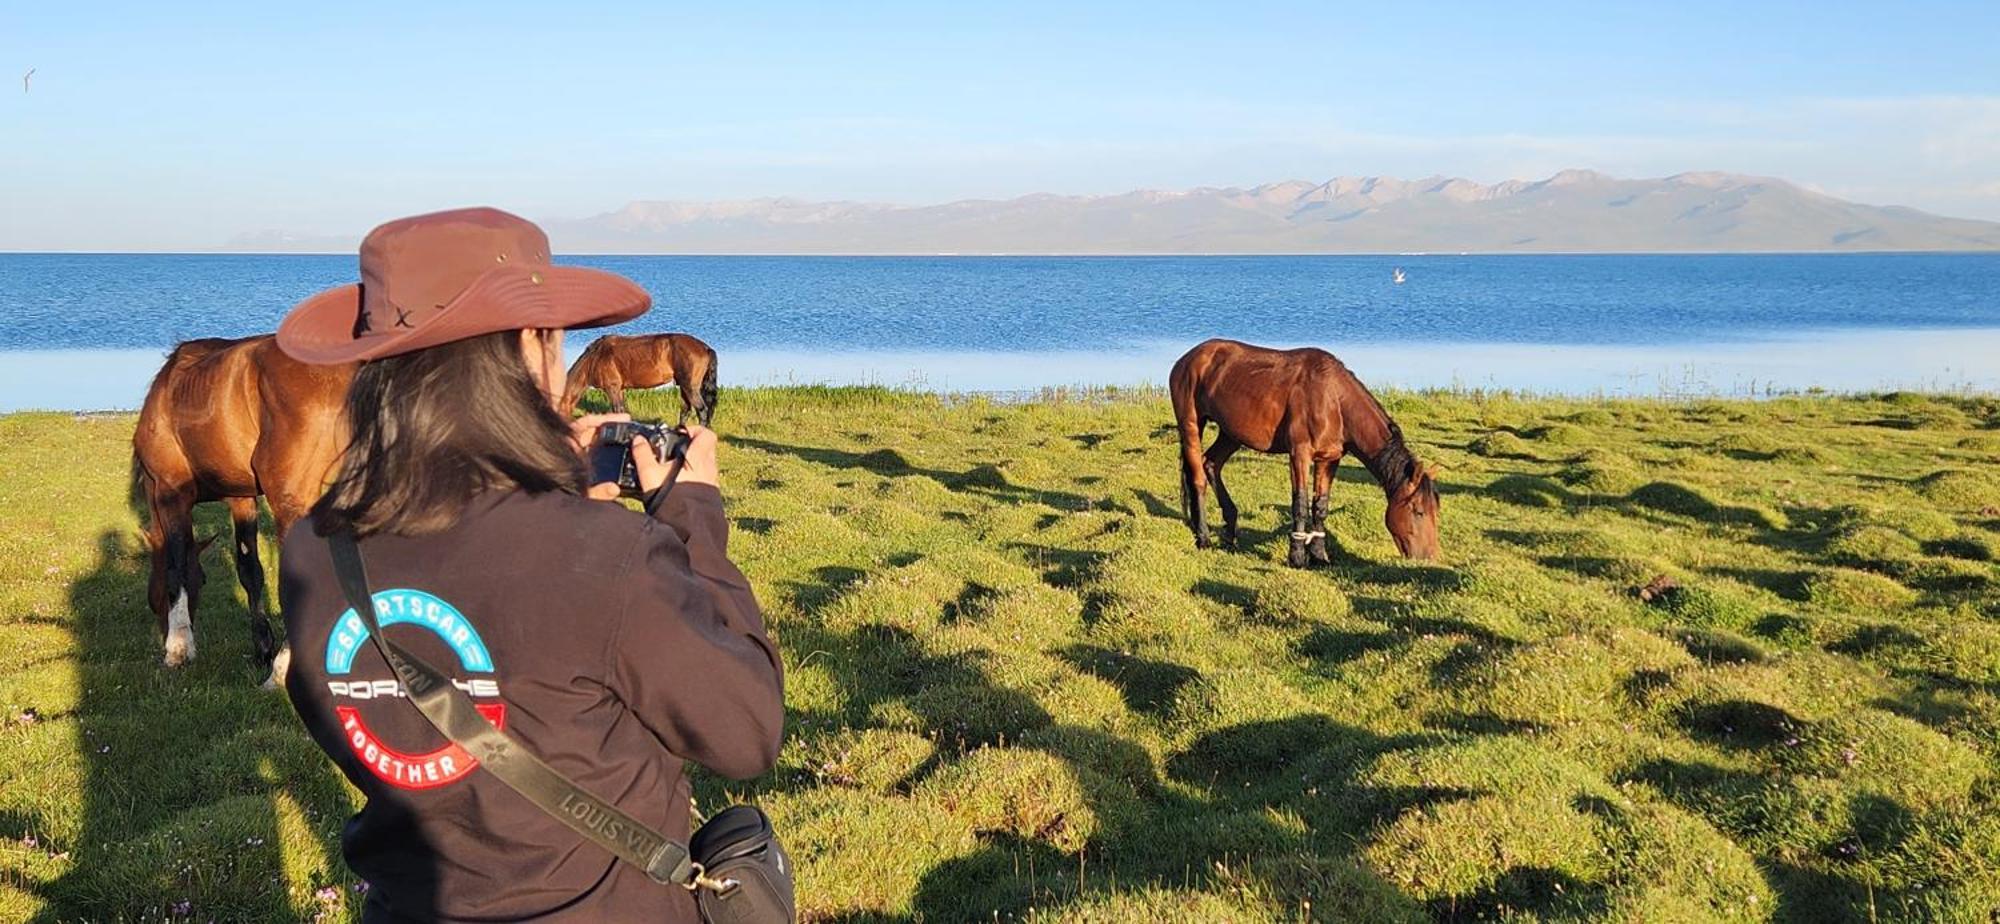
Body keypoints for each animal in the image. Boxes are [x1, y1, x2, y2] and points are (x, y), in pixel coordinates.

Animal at [134, 336, 352, 676]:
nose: (161, 632)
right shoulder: (242, 500)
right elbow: (250, 571)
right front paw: (262, 646)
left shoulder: (170, 492)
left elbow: (176, 567)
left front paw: (178, 648)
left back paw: (283, 667)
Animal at [560, 332, 724, 426]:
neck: (595, 358)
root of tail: (705, 348)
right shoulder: (619, 390)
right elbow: (622, 411)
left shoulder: (612, 389)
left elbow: (617, 411)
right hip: (684, 387)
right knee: (686, 410)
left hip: (690, 387)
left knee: (701, 410)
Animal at [1168, 340, 1440, 568]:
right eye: (1418, 511)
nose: (1429, 557)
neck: (1334, 401)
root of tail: (1188, 358)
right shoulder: (1299, 454)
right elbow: (1299, 504)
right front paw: (1297, 557)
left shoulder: (1329, 460)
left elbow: (1320, 506)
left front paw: (1319, 556)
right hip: (1191, 423)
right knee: (1198, 477)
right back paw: (1203, 537)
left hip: (1231, 433)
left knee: (1211, 464)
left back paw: (1230, 532)